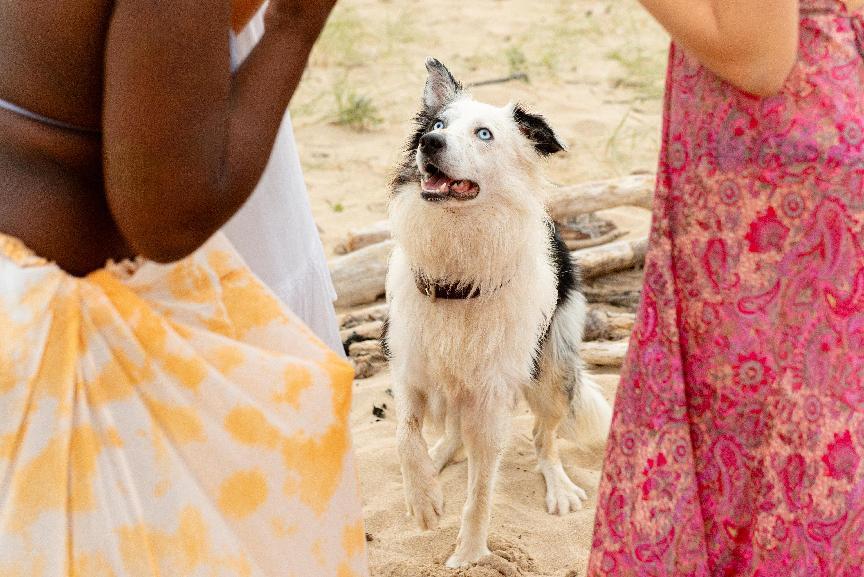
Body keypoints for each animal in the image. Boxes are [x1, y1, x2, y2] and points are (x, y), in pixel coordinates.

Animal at [384, 59, 616, 568]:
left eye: (484, 134)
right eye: (436, 125)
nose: (429, 144)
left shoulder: (491, 396)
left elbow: (482, 491)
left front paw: (470, 554)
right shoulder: (411, 365)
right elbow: (405, 436)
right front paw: (423, 500)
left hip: (550, 372)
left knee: (544, 438)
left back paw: (559, 488)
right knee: (454, 429)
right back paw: (440, 455)